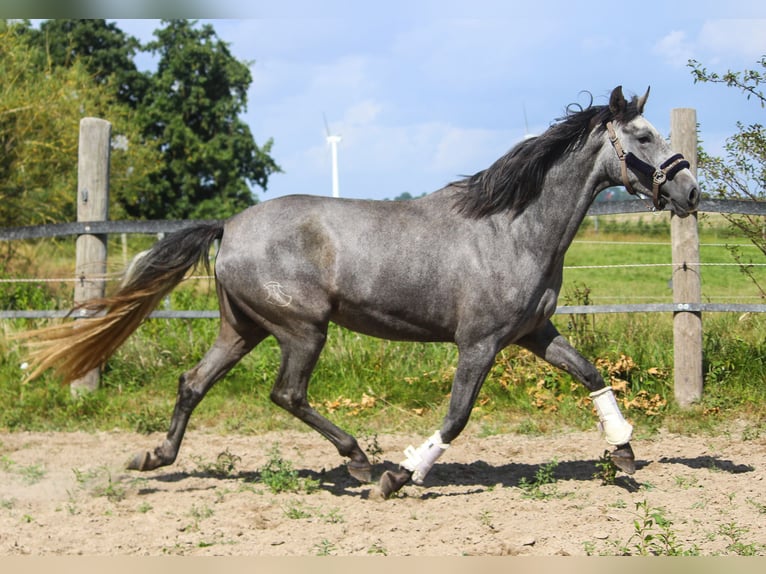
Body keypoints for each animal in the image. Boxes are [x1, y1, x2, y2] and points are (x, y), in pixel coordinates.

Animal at [18, 85, 704, 500]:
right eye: (643, 137)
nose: (690, 191)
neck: (513, 227)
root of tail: (229, 225)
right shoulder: (479, 342)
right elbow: (457, 415)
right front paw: (400, 475)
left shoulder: (533, 333)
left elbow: (591, 374)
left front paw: (624, 454)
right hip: (301, 329)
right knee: (286, 393)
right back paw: (358, 461)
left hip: (243, 327)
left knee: (193, 382)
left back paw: (154, 458)